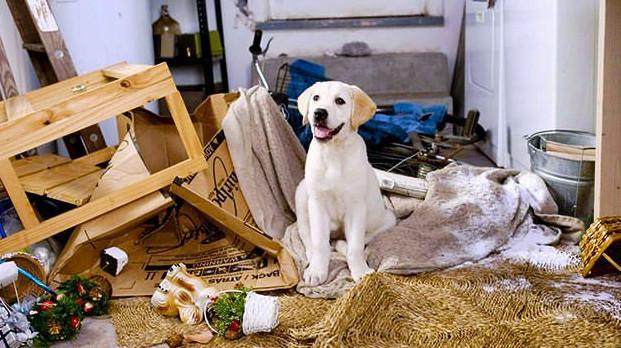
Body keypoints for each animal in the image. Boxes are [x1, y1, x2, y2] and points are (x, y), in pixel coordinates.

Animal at [294, 81, 392, 286]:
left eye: (340, 101)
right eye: (316, 98)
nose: (319, 113)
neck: (333, 152)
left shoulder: (356, 207)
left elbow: (355, 245)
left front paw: (360, 271)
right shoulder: (317, 203)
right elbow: (319, 242)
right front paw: (317, 270)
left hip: (386, 218)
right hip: (302, 193)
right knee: (306, 234)